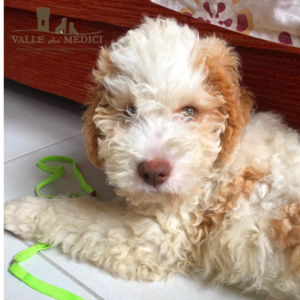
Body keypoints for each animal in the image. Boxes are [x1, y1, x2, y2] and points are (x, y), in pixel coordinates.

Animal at [4, 17, 300, 298]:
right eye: (130, 110)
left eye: (189, 111)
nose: (153, 172)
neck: (217, 165)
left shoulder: (153, 237)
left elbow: (78, 212)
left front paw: (20, 210)